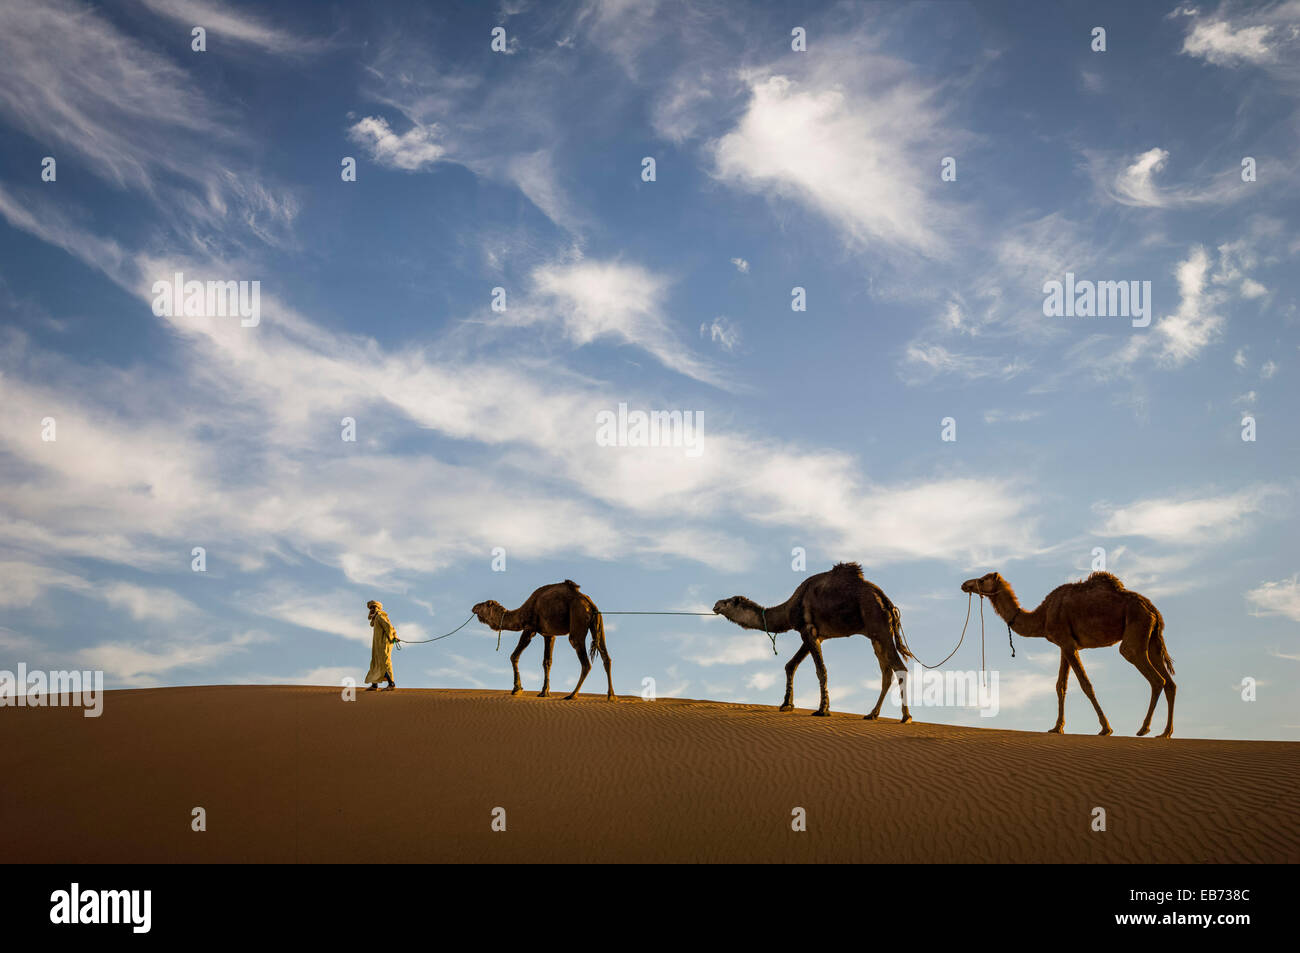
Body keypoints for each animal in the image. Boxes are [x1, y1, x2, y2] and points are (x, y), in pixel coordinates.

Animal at [470, 577, 611, 702]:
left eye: (483, 605)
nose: (474, 607)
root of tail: (590, 604)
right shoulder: (549, 634)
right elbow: (547, 662)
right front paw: (544, 692)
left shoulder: (530, 628)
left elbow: (514, 656)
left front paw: (517, 689)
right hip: (598, 623)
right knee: (606, 657)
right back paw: (611, 696)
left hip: (578, 617)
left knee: (585, 661)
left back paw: (572, 695)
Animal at [712, 556, 915, 722]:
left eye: (729, 601)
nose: (716, 604)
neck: (789, 608)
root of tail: (887, 602)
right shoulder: (816, 635)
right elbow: (790, 665)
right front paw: (786, 705)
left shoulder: (807, 630)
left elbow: (821, 670)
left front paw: (822, 709)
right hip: (876, 637)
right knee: (886, 672)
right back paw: (872, 714)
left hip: (880, 628)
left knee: (899, 668)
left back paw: (906, 717)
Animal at [956, 572, 1180, 738]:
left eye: (982, 579)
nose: (965, 584)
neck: (1043, 615)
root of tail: (1153, 610)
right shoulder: (1065, 646)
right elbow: (1060, 686)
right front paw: (1057, 727)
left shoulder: (1067, 643)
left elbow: (1085, 684)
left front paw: (1105, 728)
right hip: (1152, 639)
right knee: (1170, 683)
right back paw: (1165, 733)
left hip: (1136, 632)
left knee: (1155, 678)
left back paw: (1144, 729)